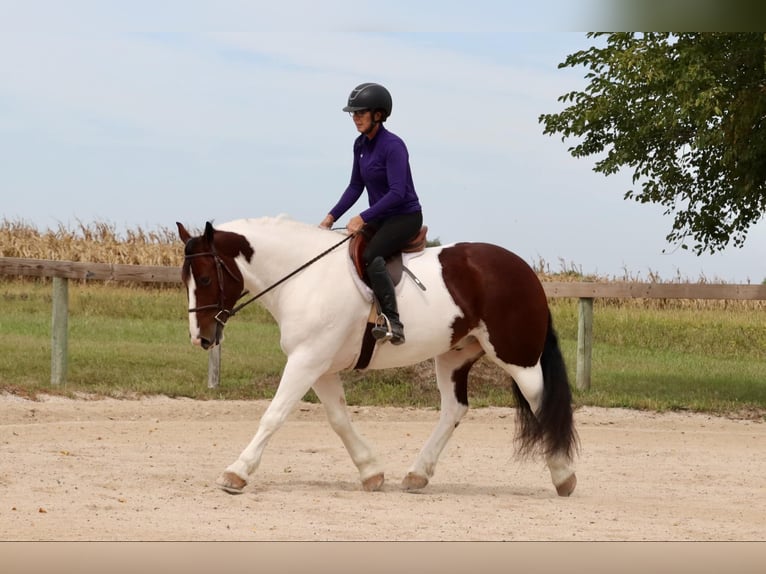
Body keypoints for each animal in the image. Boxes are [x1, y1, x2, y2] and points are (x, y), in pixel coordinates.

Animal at [177, 218, 580, 498]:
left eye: (206, 278)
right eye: (186, 280)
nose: (201, 338)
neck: (304, 278)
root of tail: (525, 271)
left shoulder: (307, 360)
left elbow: (273, 415)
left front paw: (236, 472)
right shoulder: (319, 366)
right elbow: (339, 419)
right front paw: (371, 472)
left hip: (517, 358)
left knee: (542, 404)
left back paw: (564, 476)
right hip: (454, 356)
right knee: (454, 409)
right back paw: (417, 474)